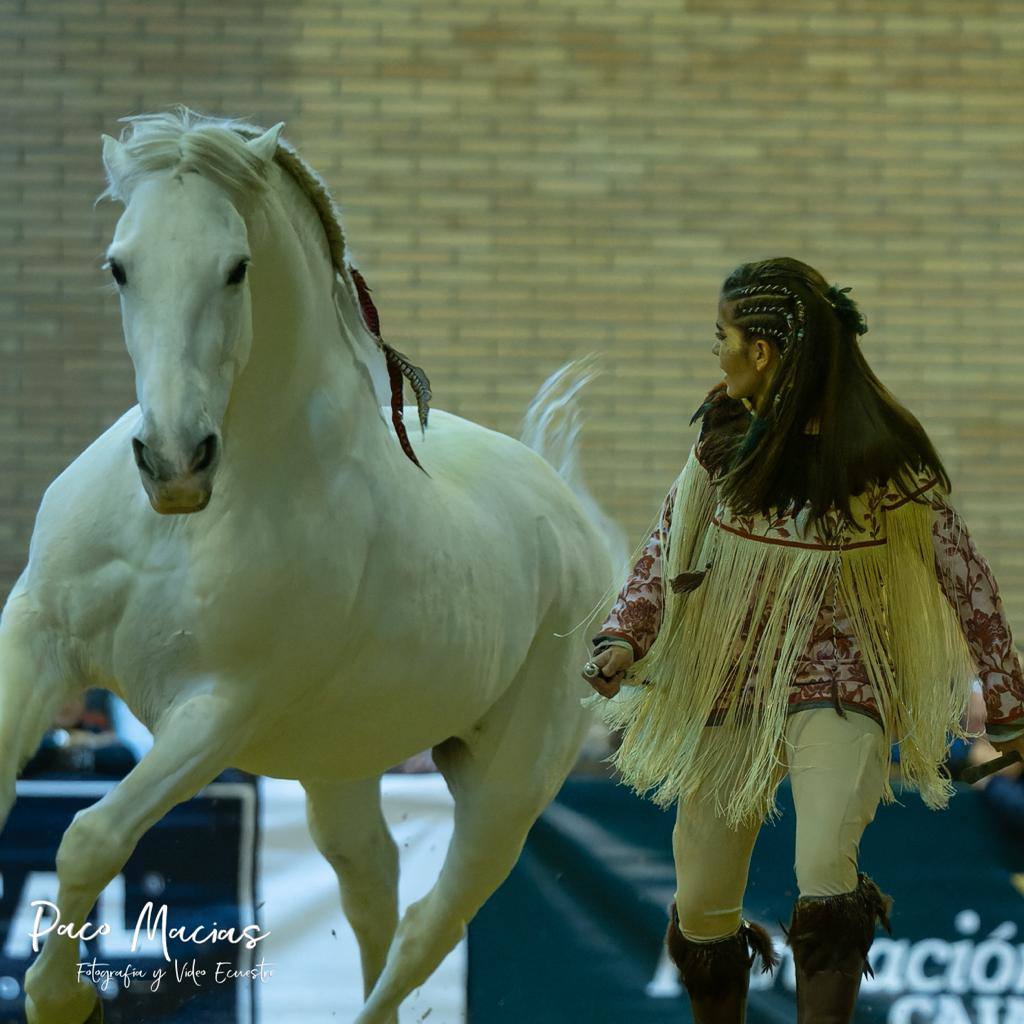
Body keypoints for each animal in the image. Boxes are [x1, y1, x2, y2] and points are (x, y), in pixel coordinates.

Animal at [4, 108, 622, 1019]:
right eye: (119, 266)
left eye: (236, 268)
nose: (175, 461)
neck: (187, 526)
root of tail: (570, 520)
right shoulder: (36, 638)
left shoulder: (219, 708)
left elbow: (90, 837)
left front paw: (60, 998)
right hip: (341, 769)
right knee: (375, 887)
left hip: (506, 795)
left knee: (424, 931)